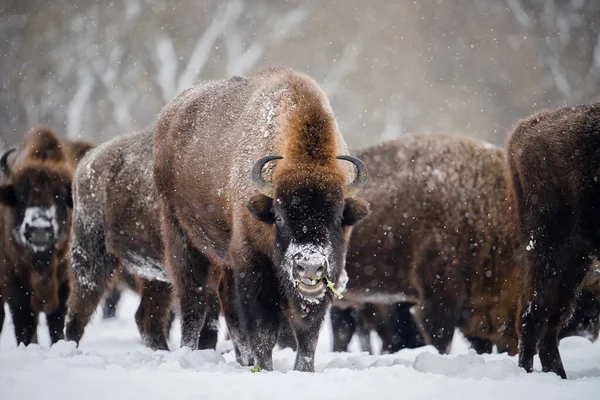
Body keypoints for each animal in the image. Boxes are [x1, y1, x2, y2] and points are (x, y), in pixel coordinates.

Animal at [0, 127, 92, 344]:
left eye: (59, 197)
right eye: (22, 196)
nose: (39, 228)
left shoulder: (64, 286)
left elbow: (56, 326)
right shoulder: (16, 287)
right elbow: (24, 326)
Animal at [152, 66, 370, 372]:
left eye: (338, 216)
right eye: (278, 216)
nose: (309, 267)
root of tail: (168, 116)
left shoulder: (330, 272)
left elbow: (308, 333)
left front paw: (303, 370)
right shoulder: (253, 265)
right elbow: (264, 328)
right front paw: (265, 368)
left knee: (226, 304)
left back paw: (243, 360)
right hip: (181, 236)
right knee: (193, 299)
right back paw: (189, 352)